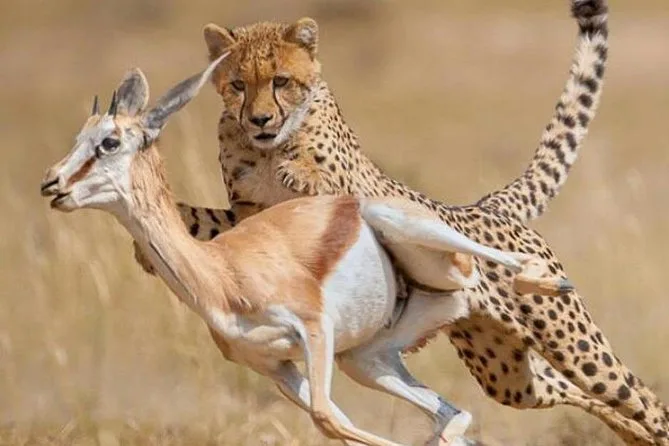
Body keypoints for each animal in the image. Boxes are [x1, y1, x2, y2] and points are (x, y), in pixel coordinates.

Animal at [40, 56, 570, 446]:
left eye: (109, 141)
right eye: (78, 138)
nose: (52, 184)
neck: (220, 273)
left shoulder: (315, 330)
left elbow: (327, 418)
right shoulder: (274, 367)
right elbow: (336, 421)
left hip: (403, 236)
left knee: (498, 267)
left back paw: (548, 278)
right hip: (368, 359)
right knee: (451, 411)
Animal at [134, 0, 669, 443]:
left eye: (281, 81)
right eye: (239, 85)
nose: (261, 120)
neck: (267, 148)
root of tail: (486, 205)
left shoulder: (346, 196)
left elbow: (325, 189)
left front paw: (299, 170)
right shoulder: (247, 218)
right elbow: (207, 223)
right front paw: (149, 238)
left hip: (571, 341)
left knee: (640, 395)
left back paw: (650, 426)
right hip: (507, 372)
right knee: (574, 392)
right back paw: (632, 434)